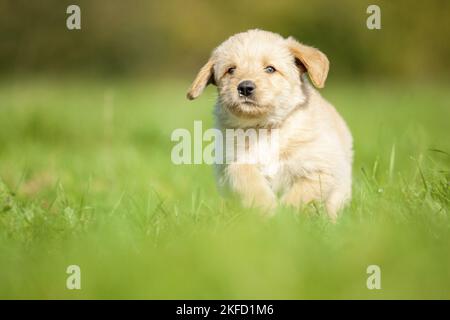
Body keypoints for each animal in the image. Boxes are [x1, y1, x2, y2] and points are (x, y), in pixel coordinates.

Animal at [186, 29, 352, 220]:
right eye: (231, 70)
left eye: (270, 69)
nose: (245, 88)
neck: (264, 128)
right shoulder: (230, 162)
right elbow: (245, 176)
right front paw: (266, 210)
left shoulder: (322, 168)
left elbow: (301, 194)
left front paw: (285, 216)